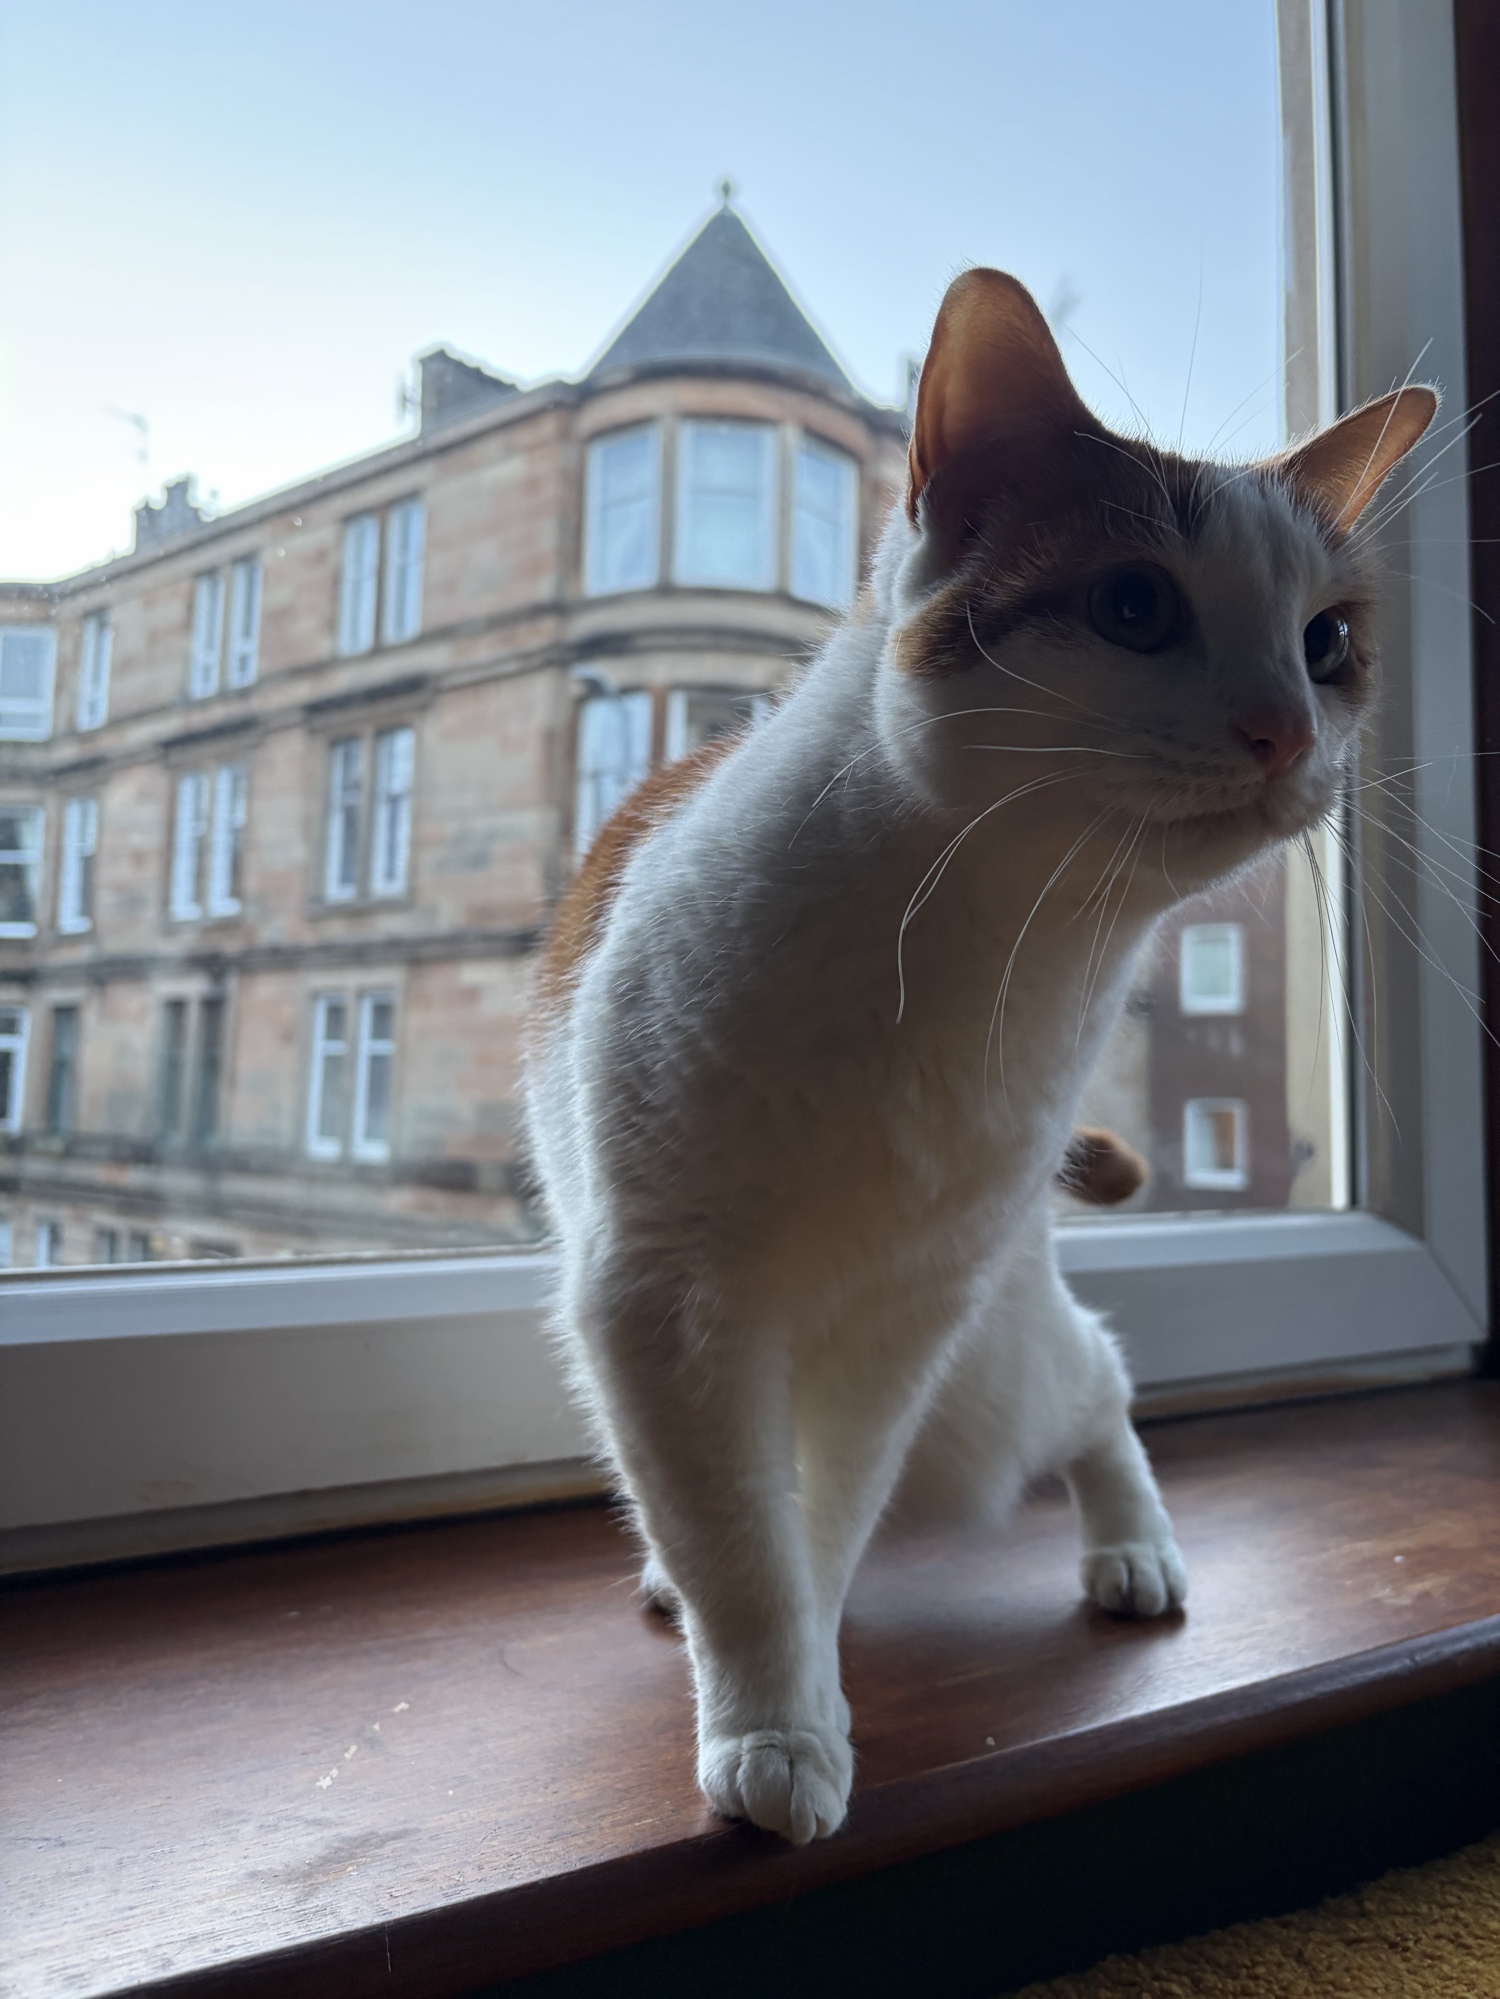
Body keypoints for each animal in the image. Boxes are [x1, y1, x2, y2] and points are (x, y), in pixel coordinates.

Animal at [525, 267, 1435, 1846]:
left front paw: (797, 1697)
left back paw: (1136, 1547)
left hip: (986, 1376)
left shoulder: (903, 1320)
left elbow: (813, 1523)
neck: (985, 948)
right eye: (1135, 604)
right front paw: (770, 1711)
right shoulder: (664, 1307)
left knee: (1099, 1378)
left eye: (1328, 643)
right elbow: (736, 1534)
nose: (1285, 729)